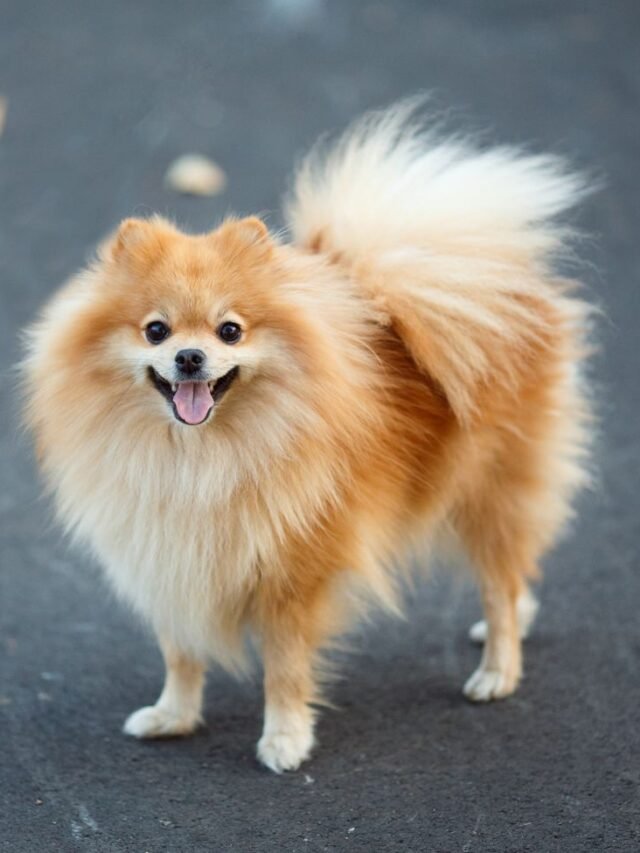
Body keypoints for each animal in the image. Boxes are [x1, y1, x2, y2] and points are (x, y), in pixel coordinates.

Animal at [25, 105, 596, 772]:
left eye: (230, 330)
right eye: (156, 330)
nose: (190, 357)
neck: (197, 458)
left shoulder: (293, 575)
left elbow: (284, 668)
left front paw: (285, 739)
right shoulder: (170, 559)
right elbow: (181, 653)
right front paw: (173, 716)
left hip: (489, 489)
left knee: (499, 583)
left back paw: (497, 670)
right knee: (515, 573)